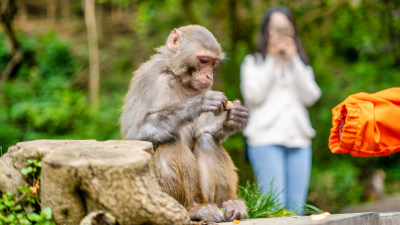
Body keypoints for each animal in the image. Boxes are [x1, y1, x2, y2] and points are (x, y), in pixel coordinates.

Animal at [120, 25, 248, 223]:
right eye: (204, 60)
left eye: (213, 64)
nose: (209, 75)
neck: (177, 77)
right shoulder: (147, 78)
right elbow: (136, 133)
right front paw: (199, 102)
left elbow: (199, 131)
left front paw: (234, 119)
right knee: (170, 141)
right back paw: (192, 210)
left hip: (203, 194)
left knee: (206, 140)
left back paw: (228, 204)